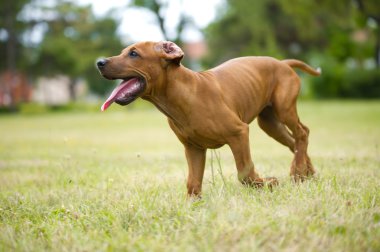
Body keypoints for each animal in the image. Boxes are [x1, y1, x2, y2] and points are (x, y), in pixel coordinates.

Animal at [98, 40, 320, 197]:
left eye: (134, 54)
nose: (99, 62)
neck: (182, 95)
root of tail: (282, 63)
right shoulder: (193, 148)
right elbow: (193, 183)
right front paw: (192, 208)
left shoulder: (239, 133)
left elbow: (244, 172)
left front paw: (267, 183)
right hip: (269, 123)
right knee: (295, 141)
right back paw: (306, 171)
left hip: (284, 108)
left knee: (302, 132)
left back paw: (298, 171)